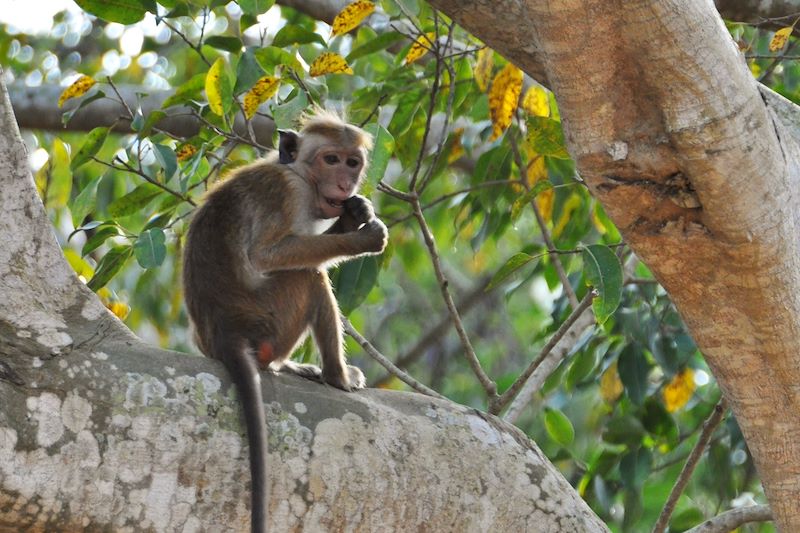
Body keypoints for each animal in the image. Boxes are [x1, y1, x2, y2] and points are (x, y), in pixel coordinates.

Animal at [184, 110, 390, 528]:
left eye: (353, 162)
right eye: (331, 159)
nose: (345, 182)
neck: (301, 175)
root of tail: (226, 332)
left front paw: (355, 214)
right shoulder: (286, 192)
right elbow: (268, 255)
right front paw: (361, 238)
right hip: (271, 317)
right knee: (309, 276)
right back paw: (336, 376)